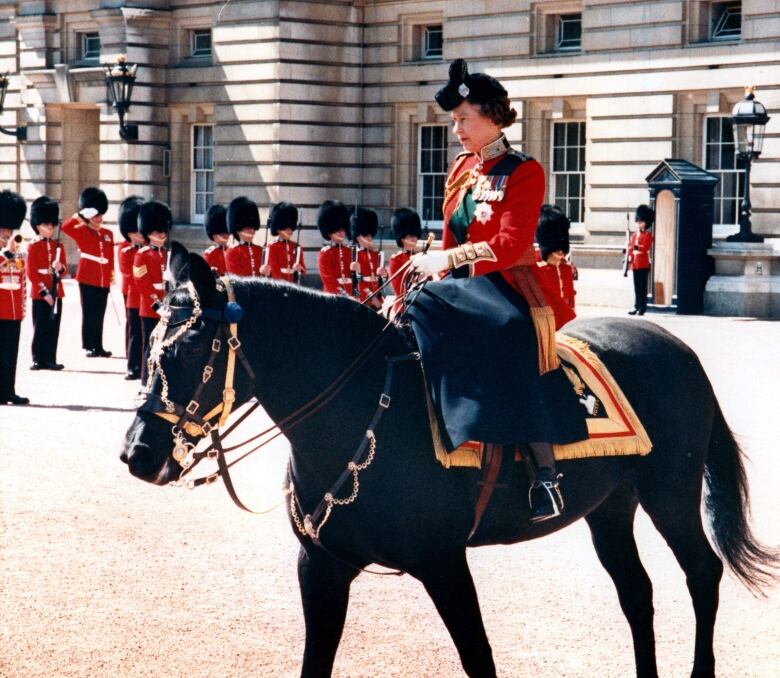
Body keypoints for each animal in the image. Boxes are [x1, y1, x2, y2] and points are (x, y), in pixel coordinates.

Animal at [120, 248, 772, 678]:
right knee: (636, 591)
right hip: (609, 508)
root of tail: (676, 344)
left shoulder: (444, 563)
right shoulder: (323, 568)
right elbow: (315, 662)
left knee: (702, 574)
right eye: (150, 345)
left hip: (670, 496)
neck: (363, 412)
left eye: (187, 350)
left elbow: (478, 658)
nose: (137, 455)